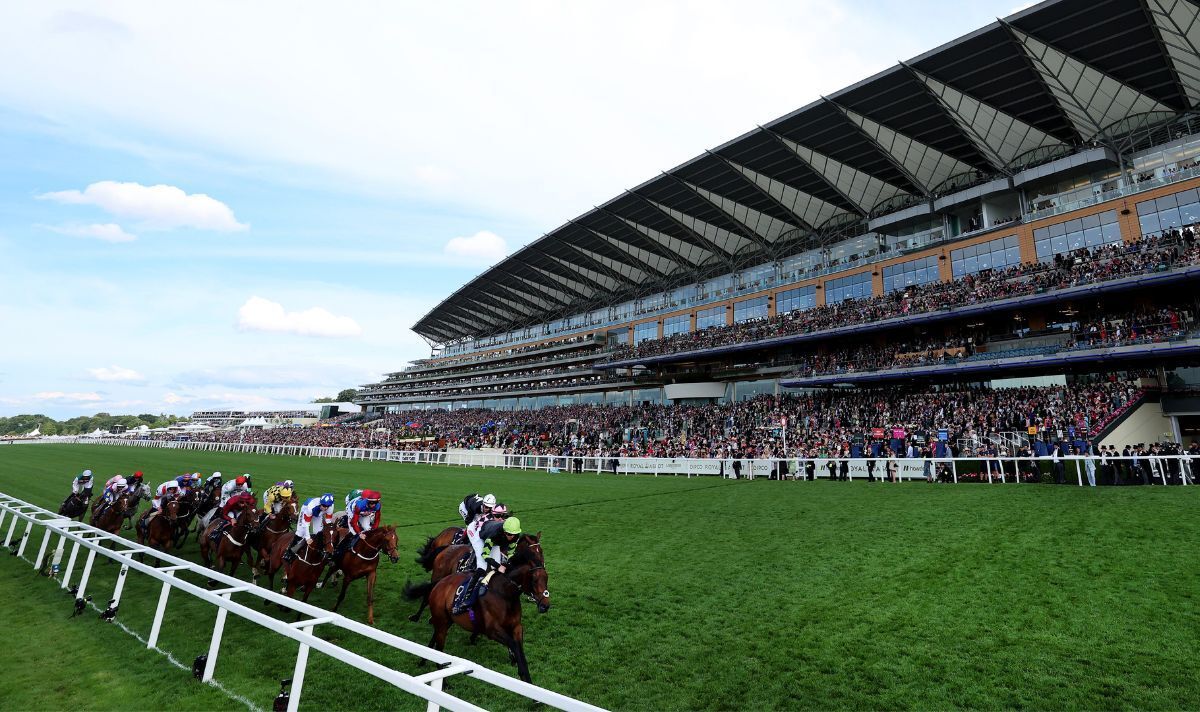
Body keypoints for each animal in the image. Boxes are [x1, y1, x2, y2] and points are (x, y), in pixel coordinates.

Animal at [405, 530, 549, 681]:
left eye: (541, 550)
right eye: (534, 580)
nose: (545, 605)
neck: (505, 592)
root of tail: (446, 547)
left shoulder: (516, 627)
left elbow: (517, 647)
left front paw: (520, 669)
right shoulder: (493, 629)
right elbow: (513, 644)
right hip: (438, 577)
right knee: (427, 597)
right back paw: (416, 617)